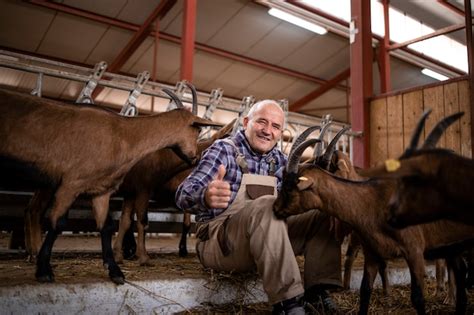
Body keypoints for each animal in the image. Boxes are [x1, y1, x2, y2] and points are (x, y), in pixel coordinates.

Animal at [0, 87, 221, 286]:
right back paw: (34, 254)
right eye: (197, 129)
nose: (195, 157)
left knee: (32, 210)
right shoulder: (74, 183)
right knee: (35, 211)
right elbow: (59, 222)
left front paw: (116, 267)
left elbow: (112, 224)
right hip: (48, 184)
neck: (124, 134)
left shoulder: (105, 190)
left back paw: (32, 252)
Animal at [274, 112, 474, 314]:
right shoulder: (372, 253)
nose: (275, 208)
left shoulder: (414, 252)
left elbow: (418, 298)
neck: (373, 200)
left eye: (290, 187)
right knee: (460, 269)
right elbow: (365, 291)